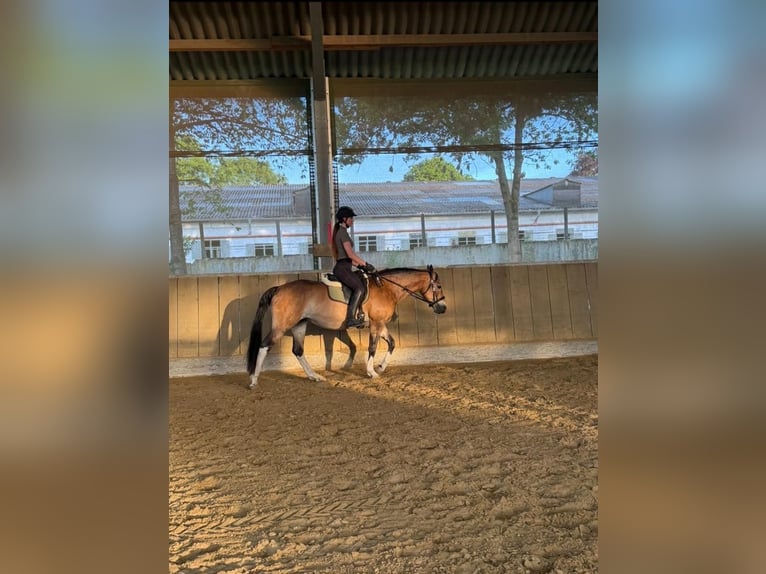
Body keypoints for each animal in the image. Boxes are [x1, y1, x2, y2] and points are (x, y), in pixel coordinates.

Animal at [246, 265, 447, 388]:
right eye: (438, 285)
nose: (443, 308)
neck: (387, 288)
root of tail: (279, 288)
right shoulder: (376, 323)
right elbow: (372, 347)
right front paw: (371, 372)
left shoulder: (379, 323)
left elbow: (392, 343)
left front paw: (381, 367)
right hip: (282, 326)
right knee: (264, 345)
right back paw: (254, 380)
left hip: (299, 326)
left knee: (298, 351)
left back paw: (314, 376)